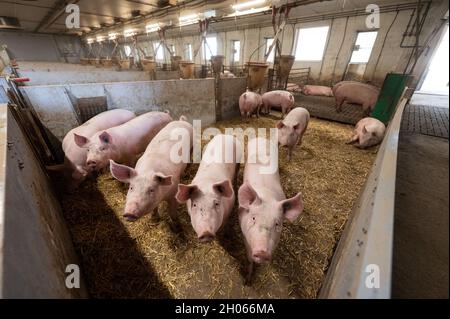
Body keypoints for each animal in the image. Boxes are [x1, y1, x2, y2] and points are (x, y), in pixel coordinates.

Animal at [237, 138, 304, 280]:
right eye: (253, 218)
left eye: (277, 223)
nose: (262, 252)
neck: (267, 197)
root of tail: (261, 137)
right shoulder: (244, 234)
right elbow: (249, 258)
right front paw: (248, 278)